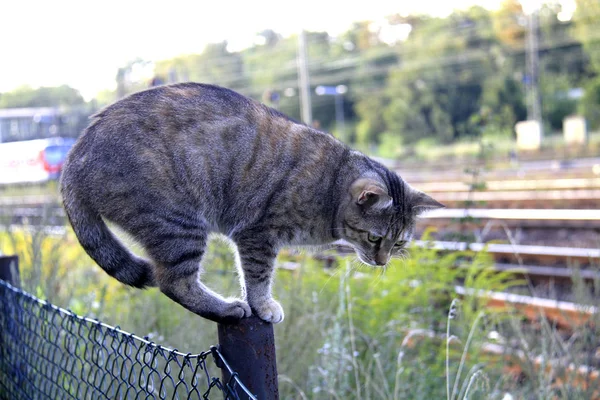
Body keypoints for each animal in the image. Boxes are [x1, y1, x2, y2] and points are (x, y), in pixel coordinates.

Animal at [61, 83, 442, 324]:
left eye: (399, 243)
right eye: (375, 238)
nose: (382, 262)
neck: (331, 186)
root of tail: (76, 155)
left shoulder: (248, 239)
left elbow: (248, 276)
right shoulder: (258, 234)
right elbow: (259, 277)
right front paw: (262, 306)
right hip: (178, 224)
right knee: (173, 282)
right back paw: (225, 309)